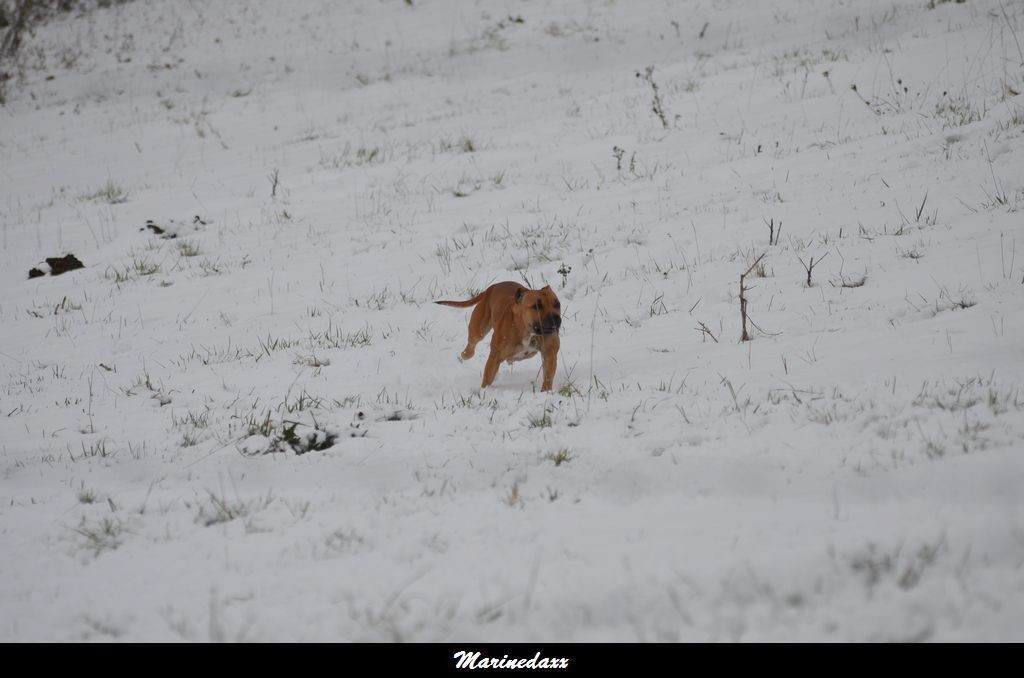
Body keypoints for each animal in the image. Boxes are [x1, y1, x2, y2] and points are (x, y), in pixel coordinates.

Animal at [432, 282, 561, 391]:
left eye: (557, 304)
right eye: (537, 306)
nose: (555, 319)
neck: (527, 330)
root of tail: (491, 288)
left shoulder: (549, 354)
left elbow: (548, 376)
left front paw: (546, 392)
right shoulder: (494, 357)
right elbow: (487, 378)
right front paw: (484, 392)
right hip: (478, 330)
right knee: (471, 346)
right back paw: (463, 356)